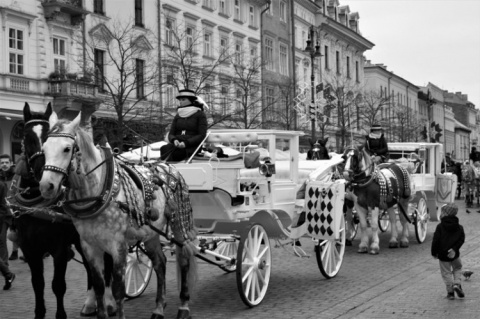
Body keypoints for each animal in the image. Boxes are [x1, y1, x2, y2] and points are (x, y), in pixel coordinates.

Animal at [8, 104, 116, 318]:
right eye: (27, 137)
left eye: (47, 135)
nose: (43, 176)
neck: (38, 205)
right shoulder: (30, 248)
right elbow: (37, 284)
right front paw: (39, 313)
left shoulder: (58, 248)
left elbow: (58, 285)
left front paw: (61, 315)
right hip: (82, 240)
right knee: (91, 269)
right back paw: (90, 303)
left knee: (106, 266)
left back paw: (108, 302)